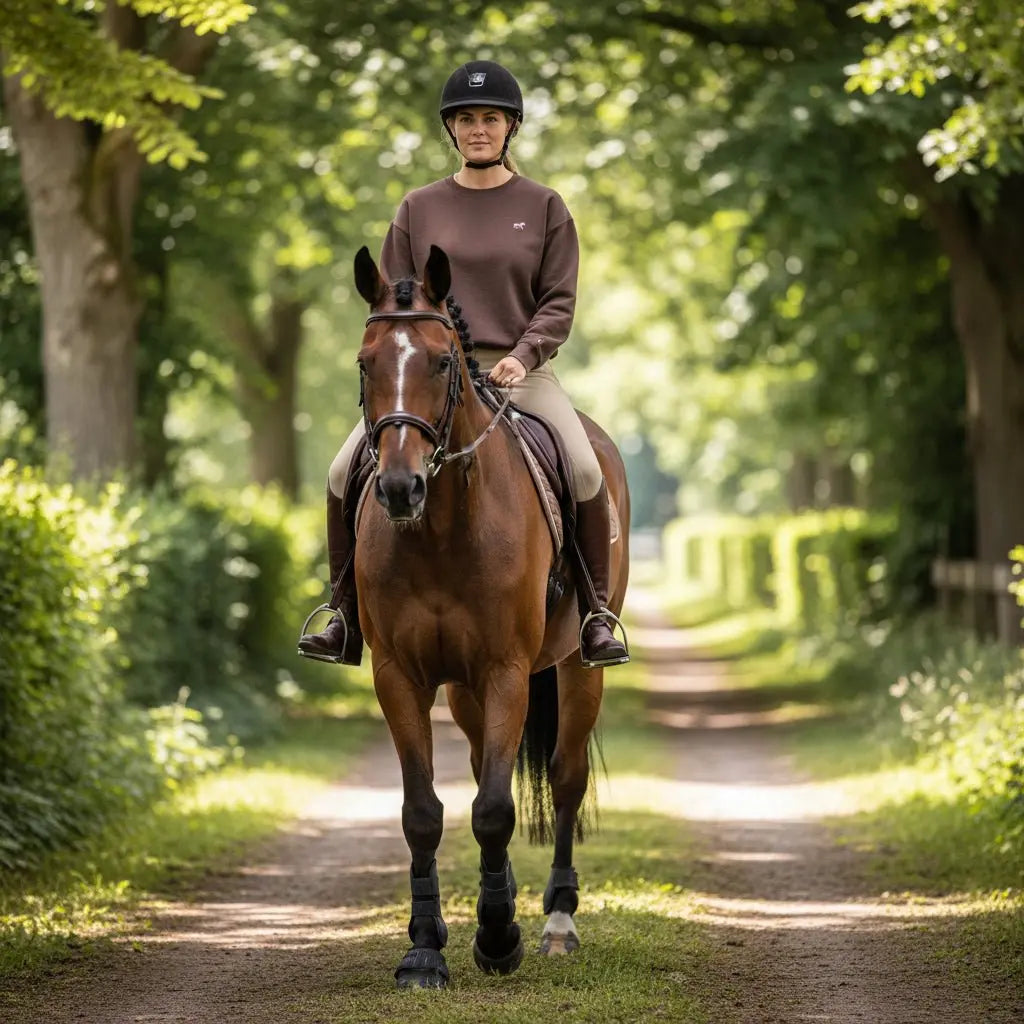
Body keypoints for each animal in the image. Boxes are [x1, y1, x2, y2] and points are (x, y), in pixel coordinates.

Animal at [350, 243, 630, 988]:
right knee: (481, 769)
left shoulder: (507, 670)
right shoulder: (400, 675)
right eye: (365, 362)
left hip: (576, 668)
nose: (399, 487)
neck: (441, 530)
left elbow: (498, 808)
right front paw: (425, 949)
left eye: (442, 362)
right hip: (463, 690)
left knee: (564, 778)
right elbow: (426, 812)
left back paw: (556, 922)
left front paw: (500, 938)